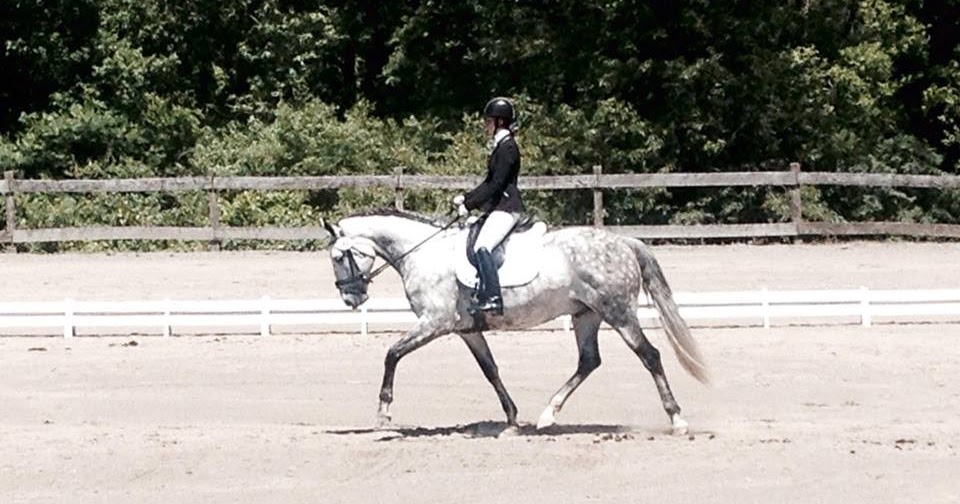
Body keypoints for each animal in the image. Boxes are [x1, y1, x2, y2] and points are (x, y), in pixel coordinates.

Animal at [321, 209, 709, 435]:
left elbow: (392, 354)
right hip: (586, 315)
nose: (351, 299)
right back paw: (547, 415)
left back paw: (677, 420)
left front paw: (383, 414)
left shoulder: (435, 322)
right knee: (589, 361)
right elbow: (490, 369)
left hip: (618, 312)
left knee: (650, 356)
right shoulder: (466, 330)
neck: (422, 252)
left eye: (339, 257)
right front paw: (510, 419)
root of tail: (623, 242)